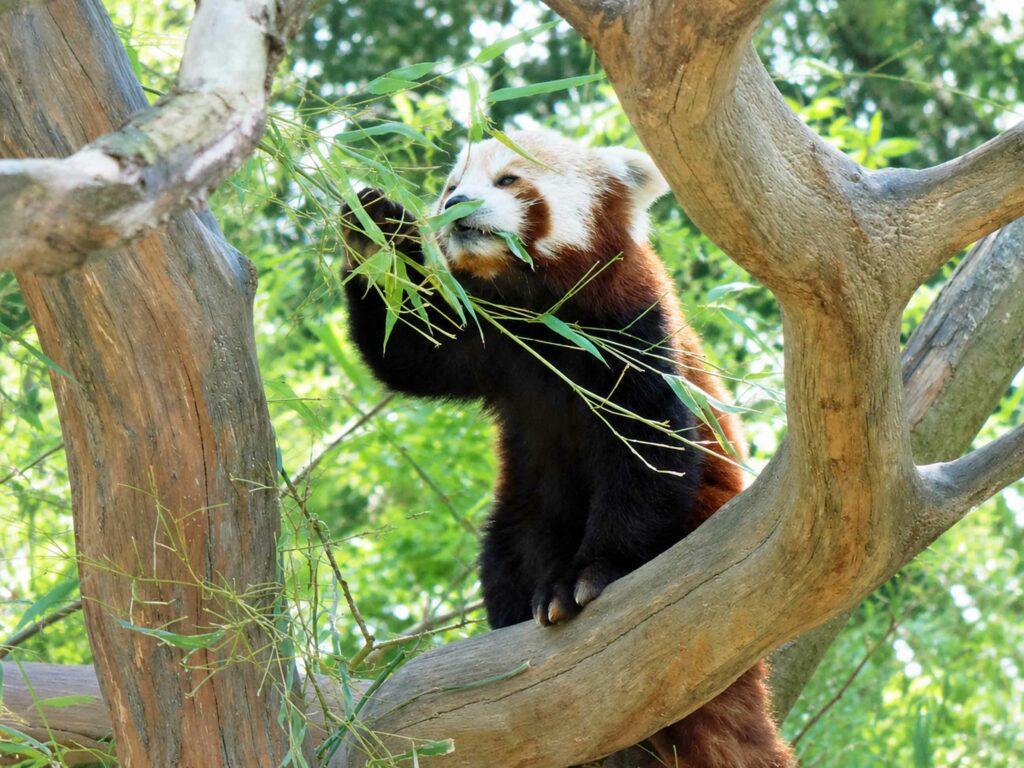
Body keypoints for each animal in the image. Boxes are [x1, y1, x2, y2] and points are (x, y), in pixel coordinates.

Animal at [340, 130, 792, 767]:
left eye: (507, 179)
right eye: (452, 185)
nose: (457, 204)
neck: (537, 308)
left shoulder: (629, 329)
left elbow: (649, 450)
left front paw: (593, 574)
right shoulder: (488, 340)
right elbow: (408, 349)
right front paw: (374, 229)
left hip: (707, 515)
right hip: (520, 514)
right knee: (505, 557)